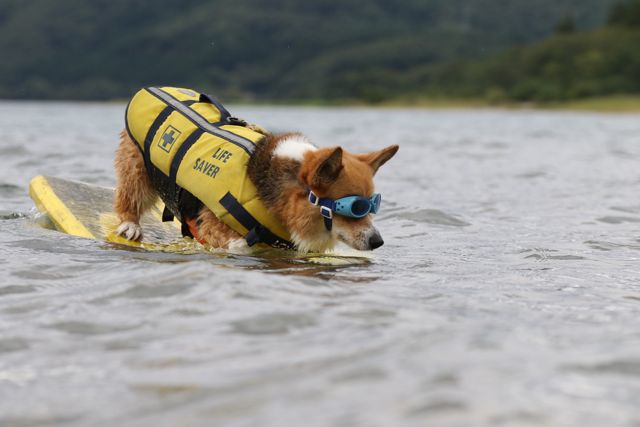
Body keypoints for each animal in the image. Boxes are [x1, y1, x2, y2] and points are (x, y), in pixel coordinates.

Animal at [112, 115, 398, 252]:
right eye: (355, 207)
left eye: (372, 205)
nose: (378, 242)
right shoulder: (214, 225)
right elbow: (239, 246)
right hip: (137, 171)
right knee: (129, 198)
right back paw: (130, 227)